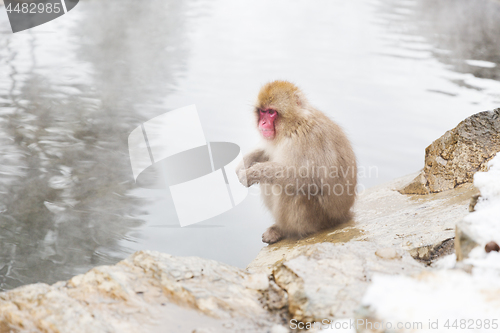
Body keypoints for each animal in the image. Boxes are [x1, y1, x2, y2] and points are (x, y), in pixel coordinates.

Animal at [237, 79, 358, 243]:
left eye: (271, 112)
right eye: (262, 111)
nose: (262, 123)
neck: (294, 123)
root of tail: (343, 215)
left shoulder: (305, 139)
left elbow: (308, 180)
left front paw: (254, 172)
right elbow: (268, 154)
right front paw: (244, 162)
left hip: (319, 218)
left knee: (291, 190)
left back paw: (285, 230)